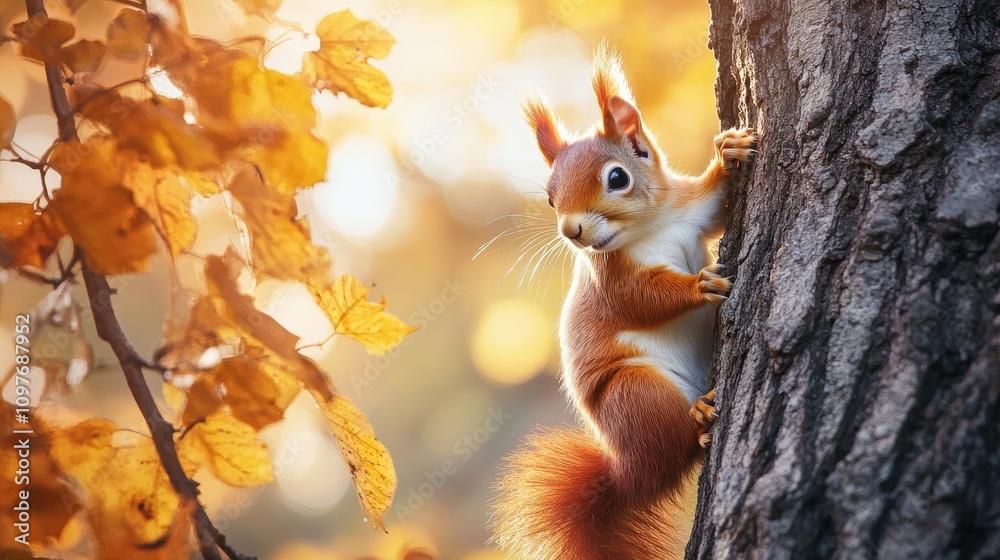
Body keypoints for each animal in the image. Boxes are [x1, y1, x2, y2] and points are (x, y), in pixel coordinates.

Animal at [491, 43, 756, 560]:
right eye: (550, 198)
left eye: (617, 178)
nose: (571, 231)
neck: (651, 227)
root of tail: (629, 476)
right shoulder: (611, 280)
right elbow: (642, 301)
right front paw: (700, 286)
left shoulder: (692, 212)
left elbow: (715, 205)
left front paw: (729, 153)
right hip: (637, 394)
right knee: (680, 444)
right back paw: (699, 416)